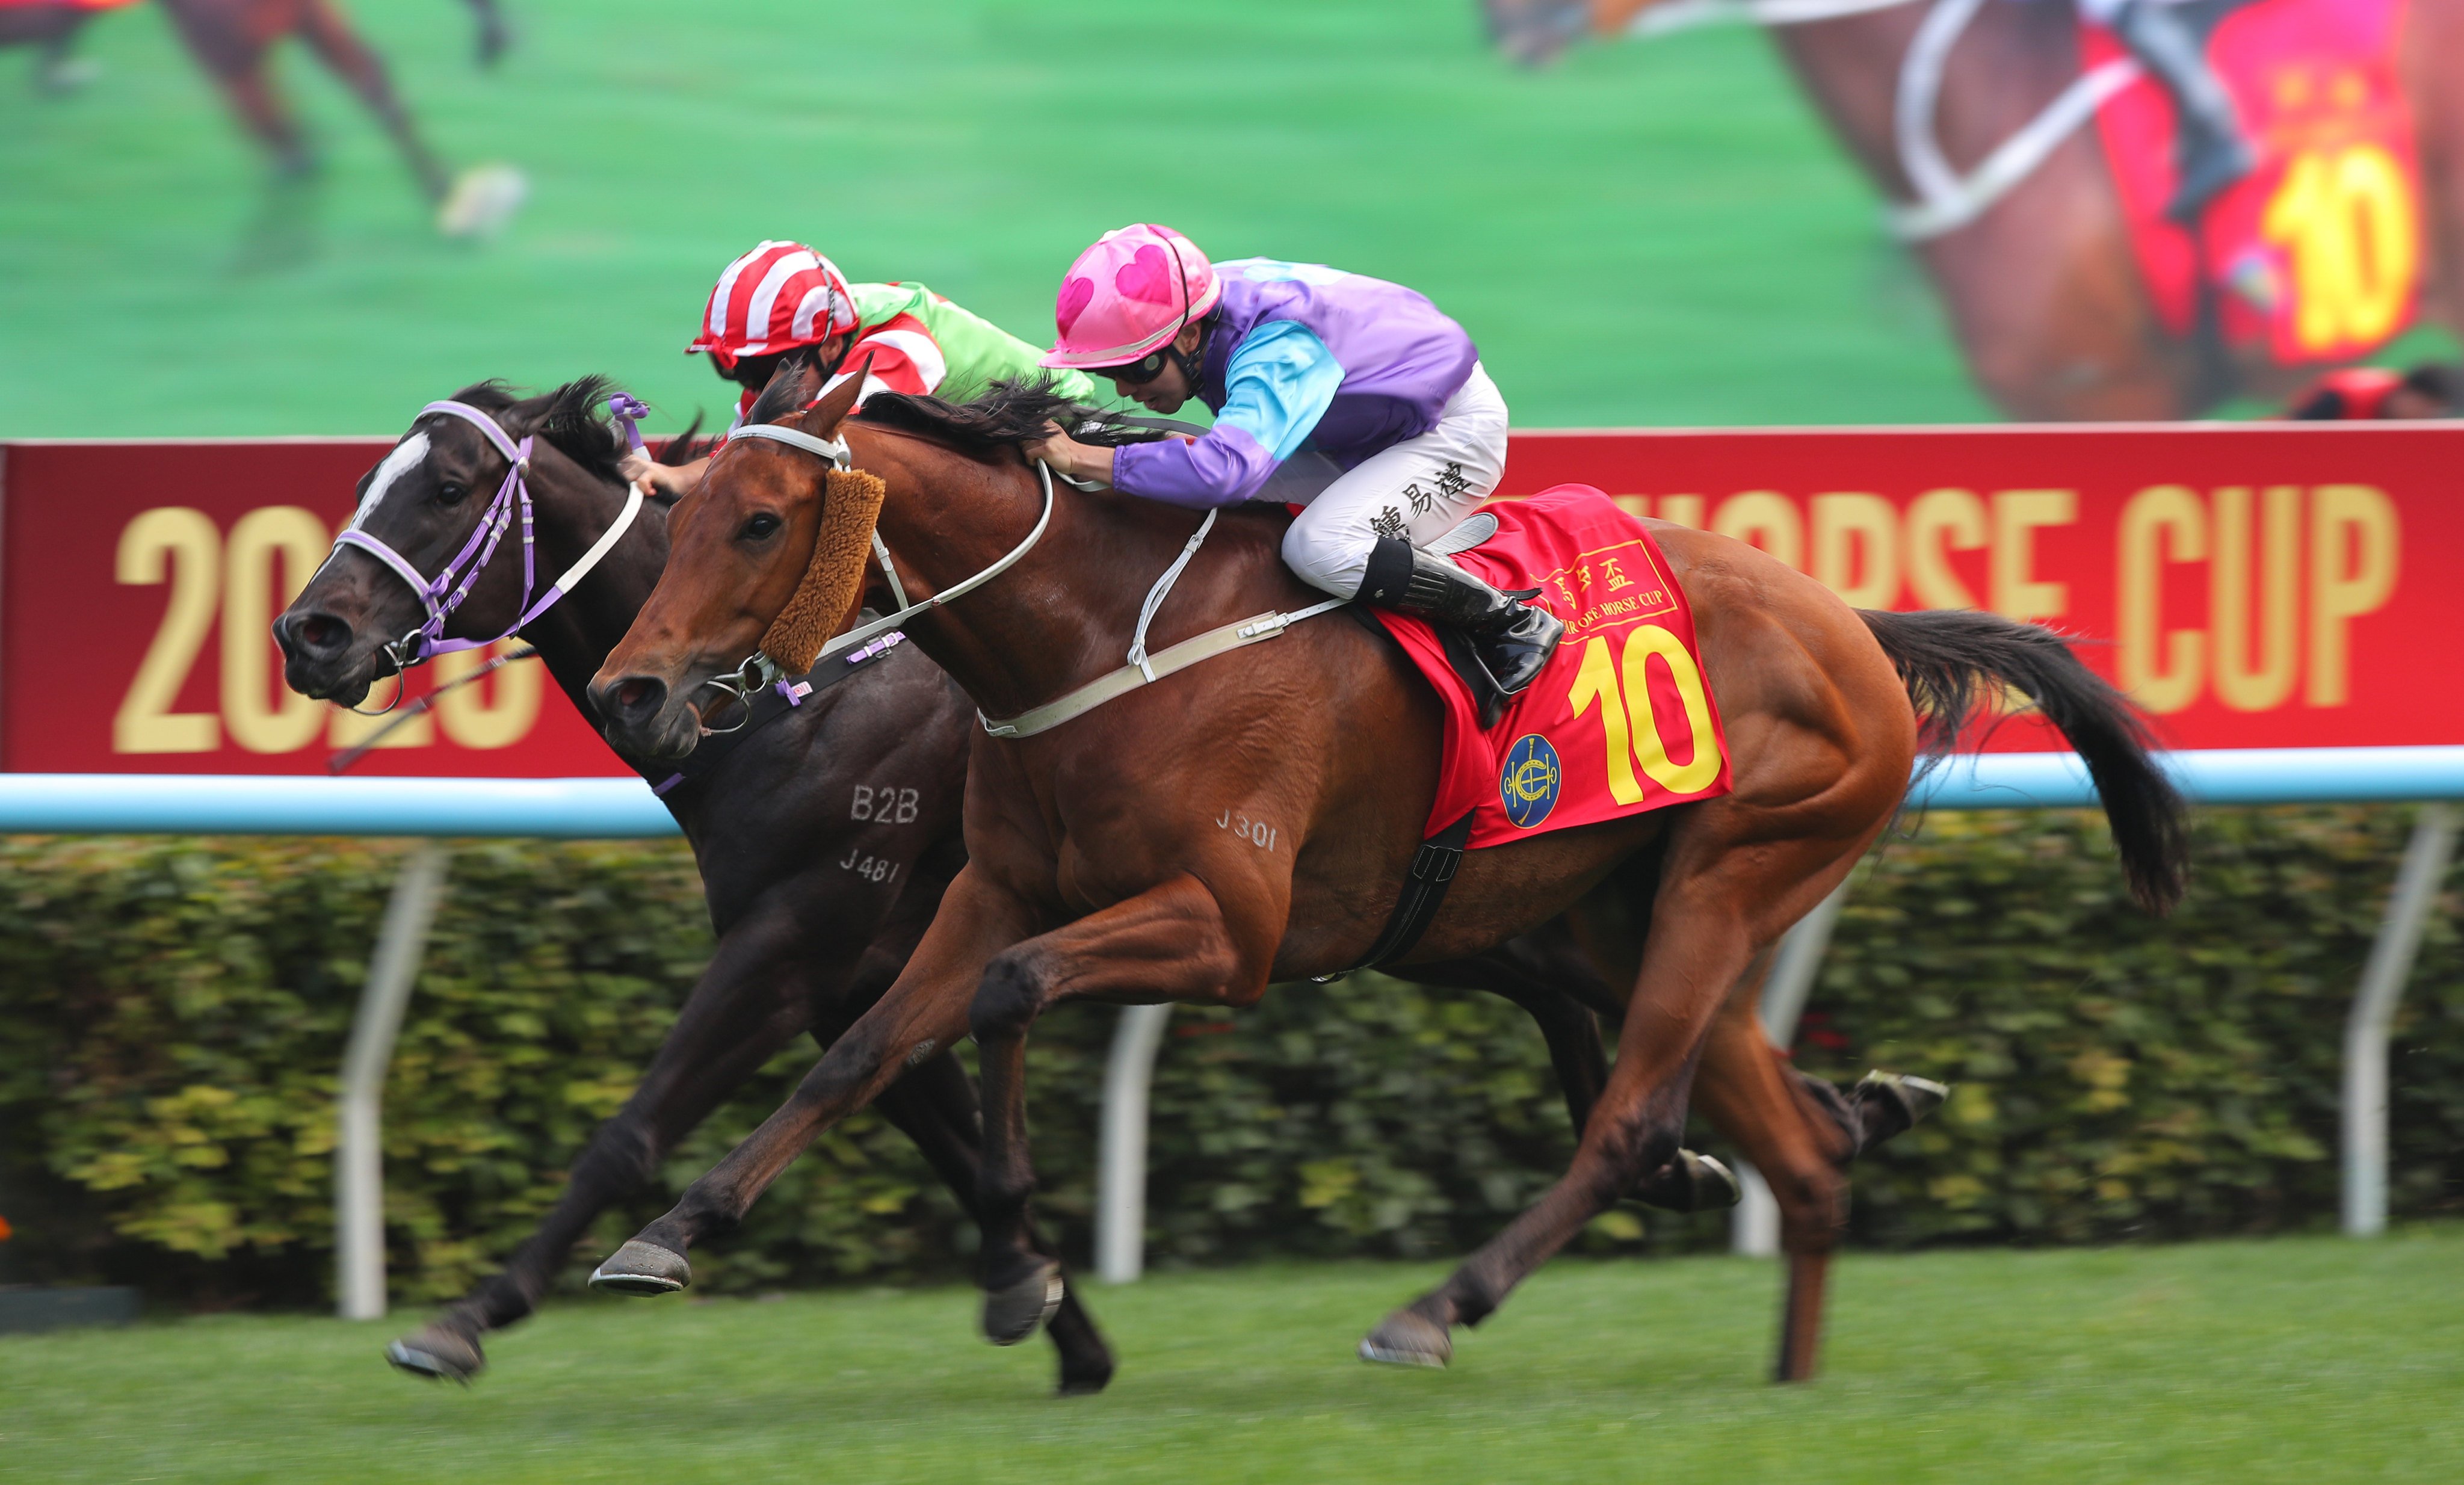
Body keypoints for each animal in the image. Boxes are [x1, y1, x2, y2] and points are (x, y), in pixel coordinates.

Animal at [271, 377, 1862, 1387]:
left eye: (452, 487)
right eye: (366, 478)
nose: (308, 634)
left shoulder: (806, 936)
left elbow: (638, 1125)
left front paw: (469, 1314)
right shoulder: (871, 959)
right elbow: (893, 1081)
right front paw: (1050, 1305)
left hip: (1648, 886)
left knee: (1646, 1077)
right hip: (1502, 909)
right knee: (1681, 1065)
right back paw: (1812, 1142)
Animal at [582, 364, 2187, 1381]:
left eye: (761, 519)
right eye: (682, 506)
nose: (632, 693)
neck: (1096, 634)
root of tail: (1852, 619)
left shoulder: (1226, 926)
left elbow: (1009, 995)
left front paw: (1008, 1263)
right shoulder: (991, 887)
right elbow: (860, 1045)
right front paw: (668, 1232)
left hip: (1732, 878)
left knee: (1630, 1119)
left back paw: (1439, 1305)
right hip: (1633, 917)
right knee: (1796, 1151)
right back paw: (1797, 1332)